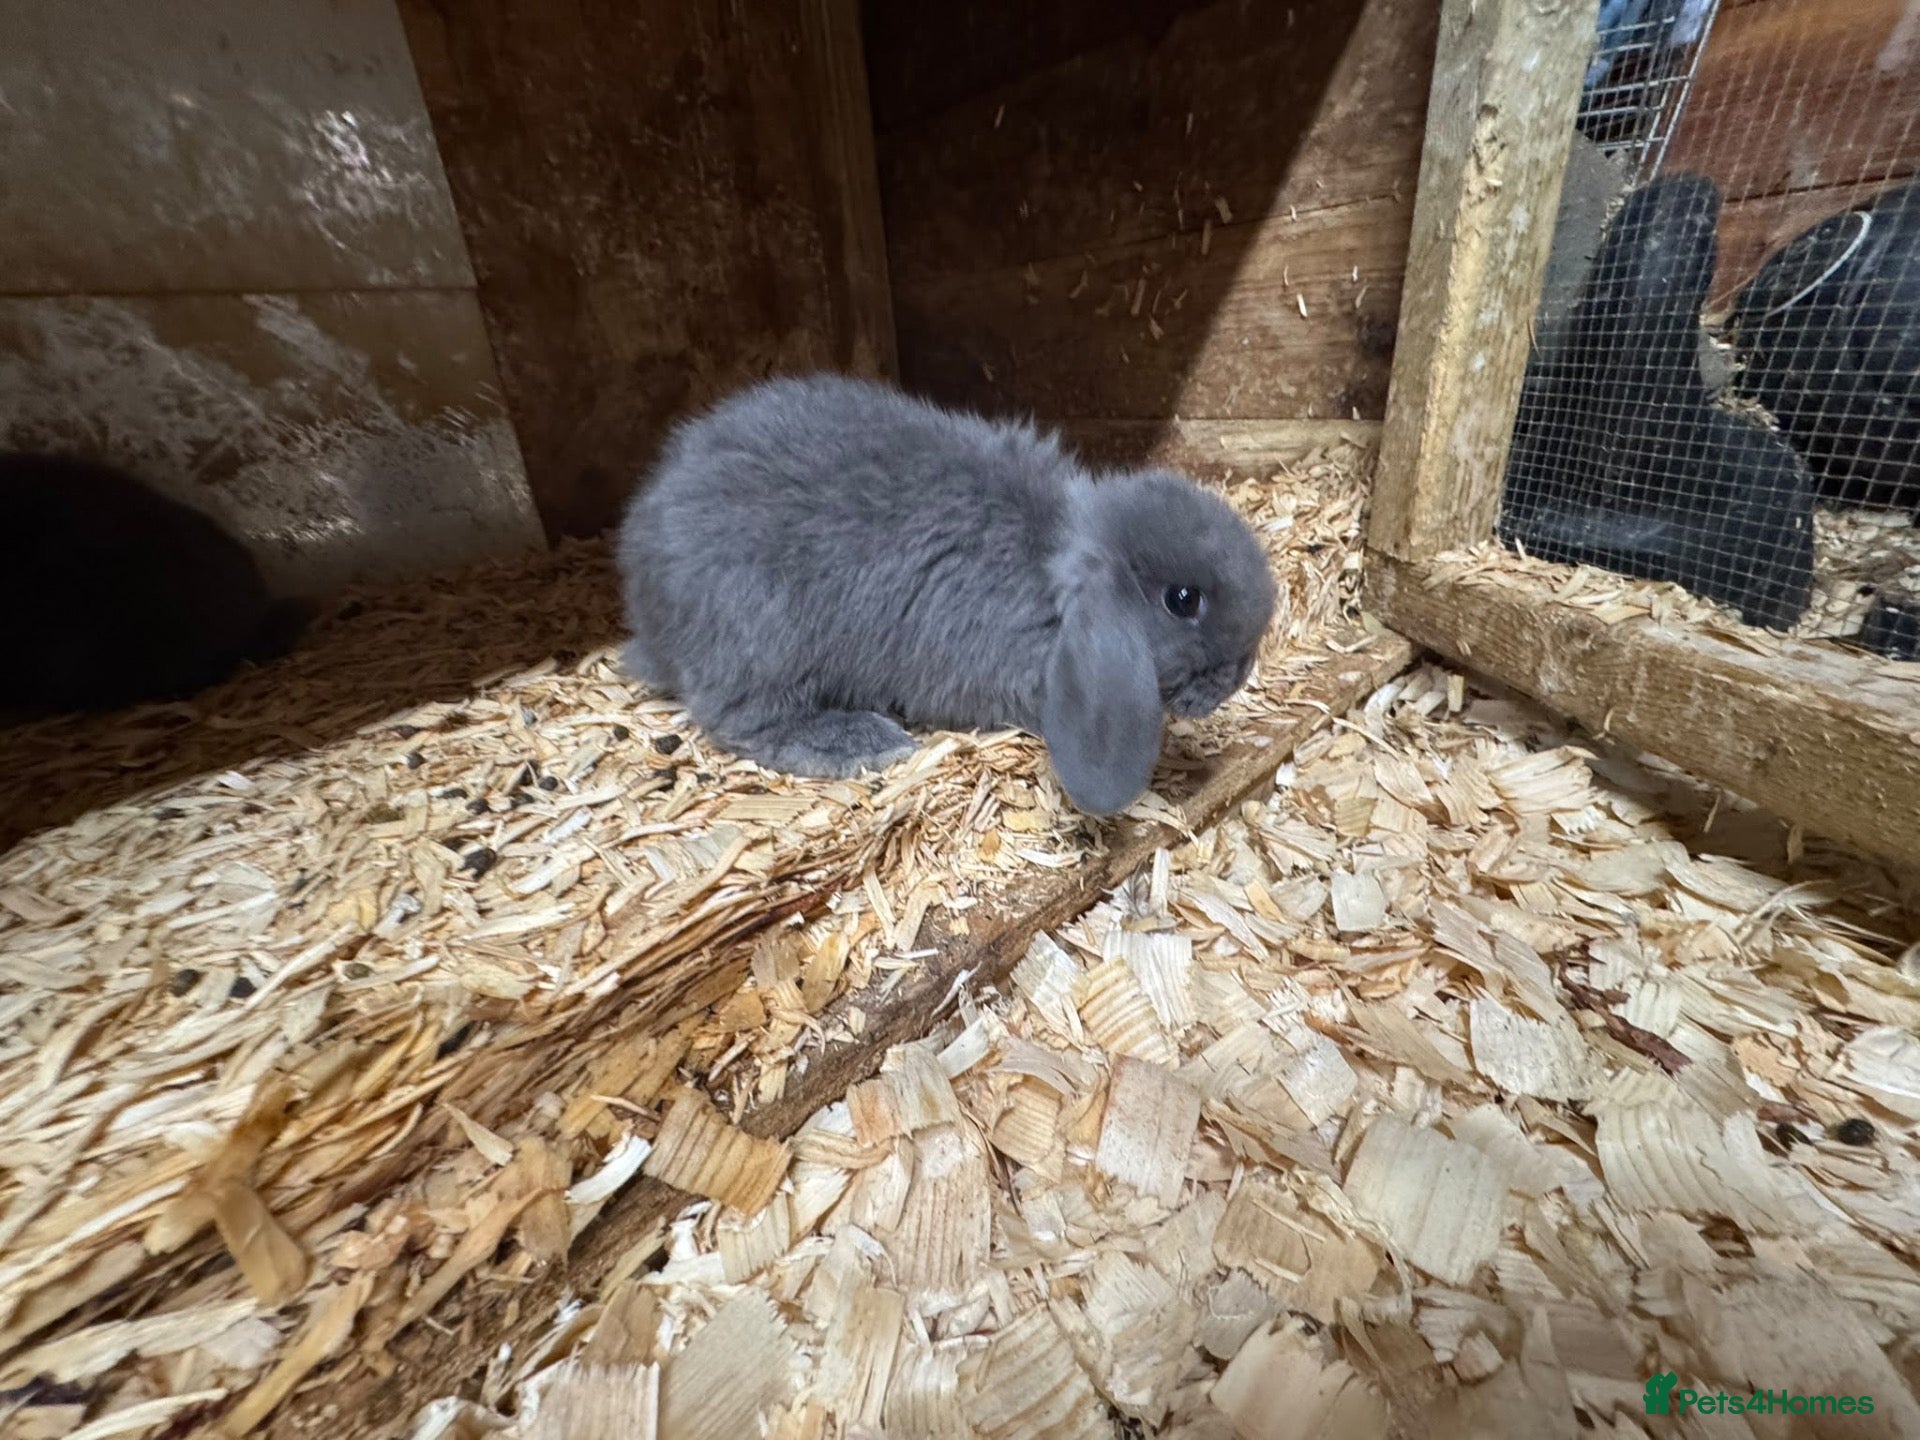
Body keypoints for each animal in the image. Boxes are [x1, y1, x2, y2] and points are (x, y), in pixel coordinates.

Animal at [617, 374, 1278, 816]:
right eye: (1184, 599)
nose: (1242, 672)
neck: (1050, 574)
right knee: (742, 719)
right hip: (761, 635)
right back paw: (860, 741)